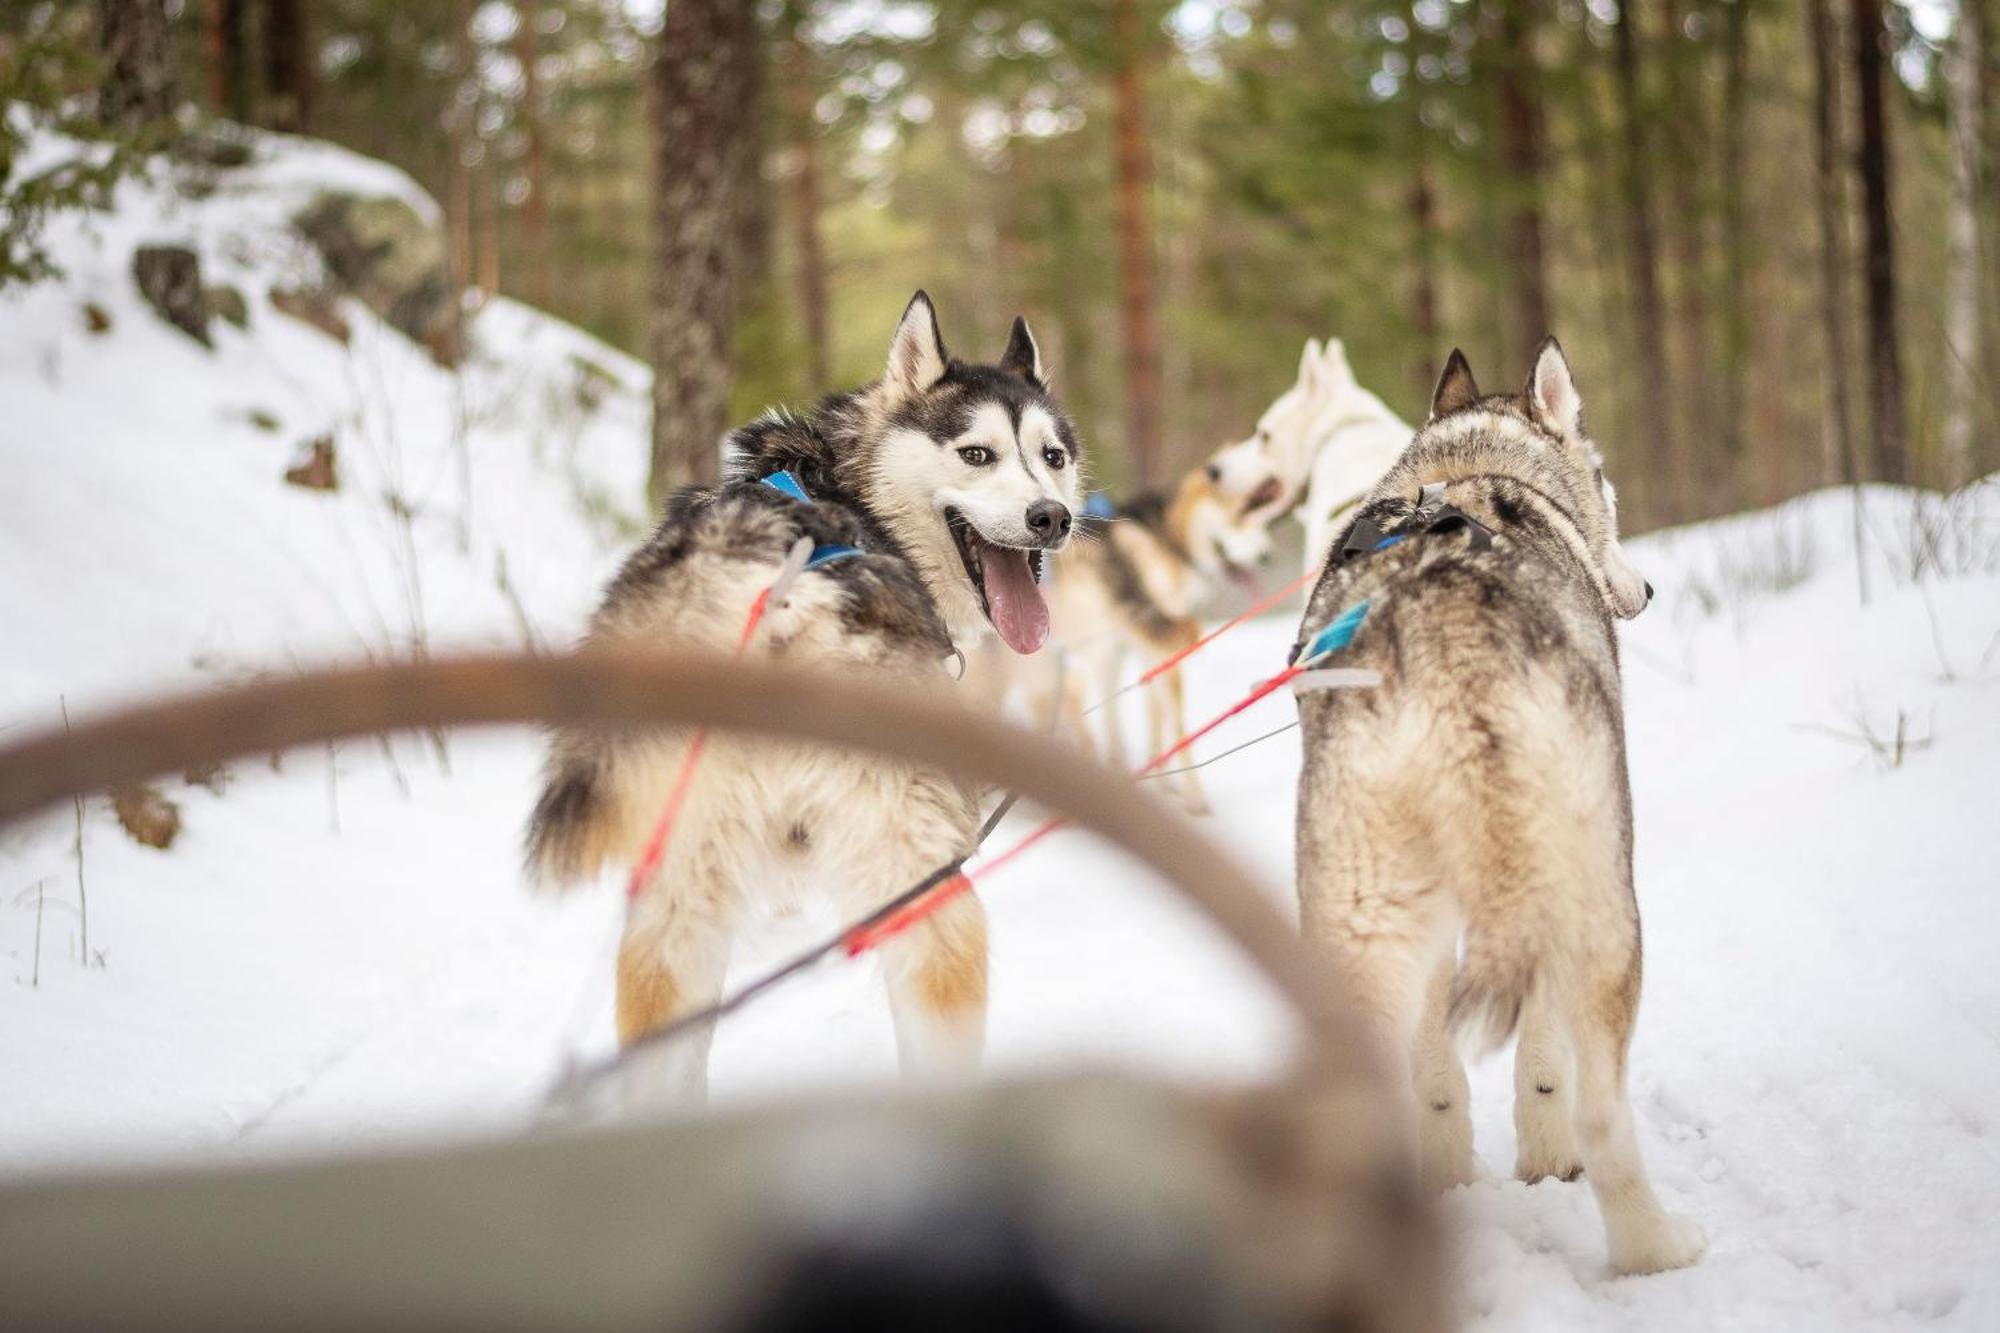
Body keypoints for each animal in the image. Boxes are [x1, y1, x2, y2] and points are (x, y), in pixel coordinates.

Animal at [520, 294, 1080, 1096]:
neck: (846, 485)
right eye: (977, 455)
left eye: (1053, 456)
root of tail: (770, 597)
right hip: (923, 886)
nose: (1051, 518)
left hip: (676, 910)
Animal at [1288, 338, 1696, 1272]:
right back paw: (1658, 1248)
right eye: (1605, 482)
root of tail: (1454, 649)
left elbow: (1439, 1078)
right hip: (1604, 905)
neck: (1468, 470)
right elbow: (1544, 1066)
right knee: (1603, 1112)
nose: (1647, 590)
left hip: (1359, 925)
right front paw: (1547, 1161)